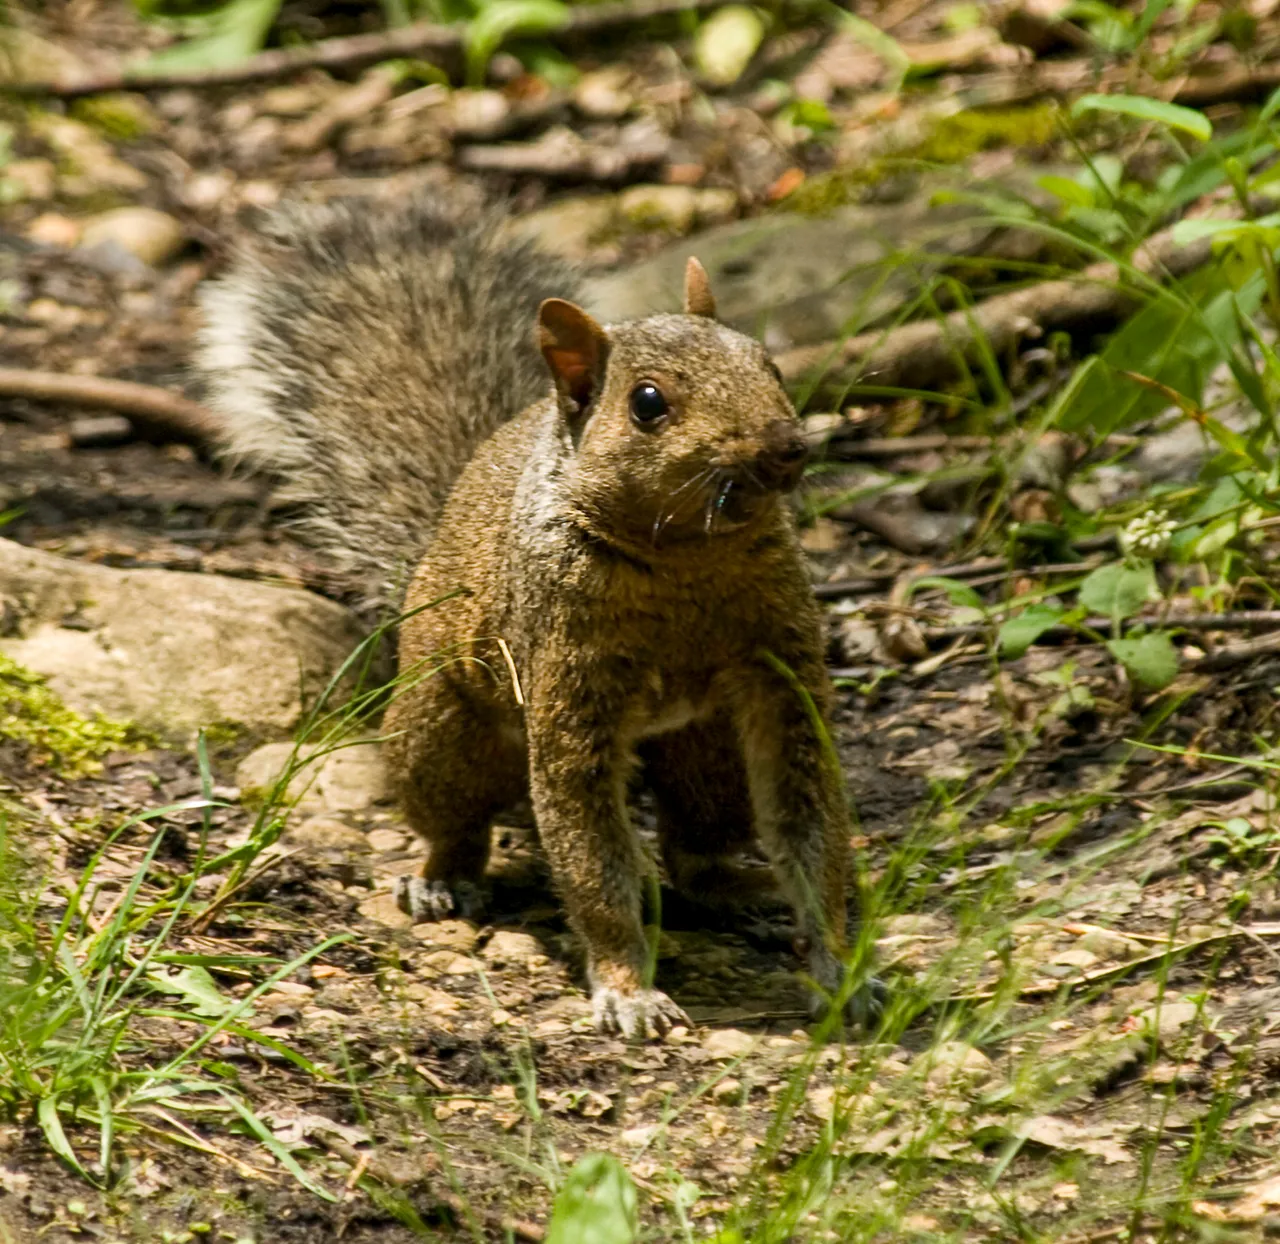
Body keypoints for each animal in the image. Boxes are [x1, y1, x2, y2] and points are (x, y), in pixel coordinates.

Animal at [197, 197, 880, 1039]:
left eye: (770, 365)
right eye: (647, 403)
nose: (787, 447)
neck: (687, 555)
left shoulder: (780, 671)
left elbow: (807, 812)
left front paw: (838, 966)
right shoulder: (566, 678)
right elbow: (589, 849)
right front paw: (628, 988)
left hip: (708, 745)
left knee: (697, 851)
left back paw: (738, 890)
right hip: (440, 734)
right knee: (453, 818)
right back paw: (441, 877)